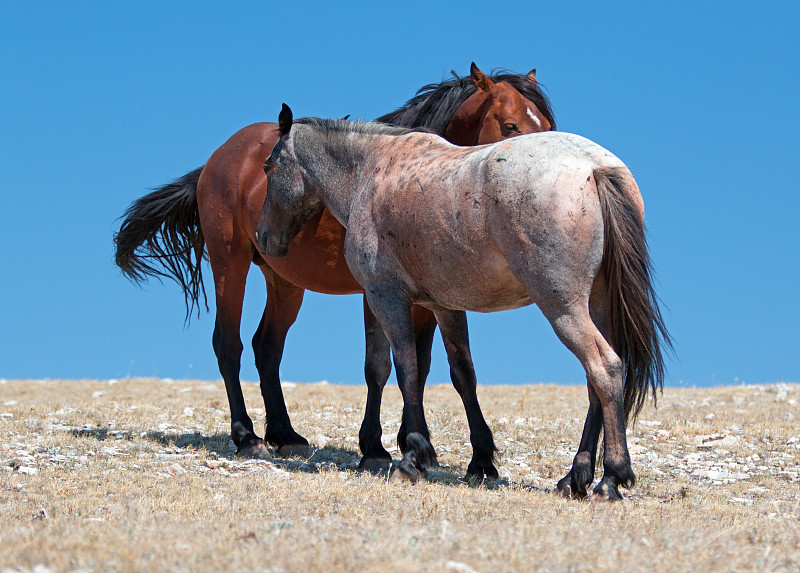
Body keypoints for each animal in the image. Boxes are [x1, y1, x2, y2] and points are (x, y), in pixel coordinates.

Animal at [114, 65, 556, 478]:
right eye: (511, 125)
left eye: (548, 126)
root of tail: (219, 158)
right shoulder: (375, 294)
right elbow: (380, 366)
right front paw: (376, 449)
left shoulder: (431, 297)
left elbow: (435, 365)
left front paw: (424, 447)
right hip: (230, 265)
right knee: (229, 345)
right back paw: (247, 437)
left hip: (285, 282)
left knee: (266, 347)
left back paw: (285, 435)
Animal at [256, 105, 668, 498]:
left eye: (268, 166)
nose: (262, 238)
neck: (373, 170)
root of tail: (594, 167)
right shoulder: (445, 306)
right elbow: (462, 374)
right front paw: (481, 461)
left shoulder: (385, 296)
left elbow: (405, 368)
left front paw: (413, 455)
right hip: (595, 307)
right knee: (595, 382)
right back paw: (575, 477)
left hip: (563, 309)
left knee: (605, 368)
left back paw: (611, 478)